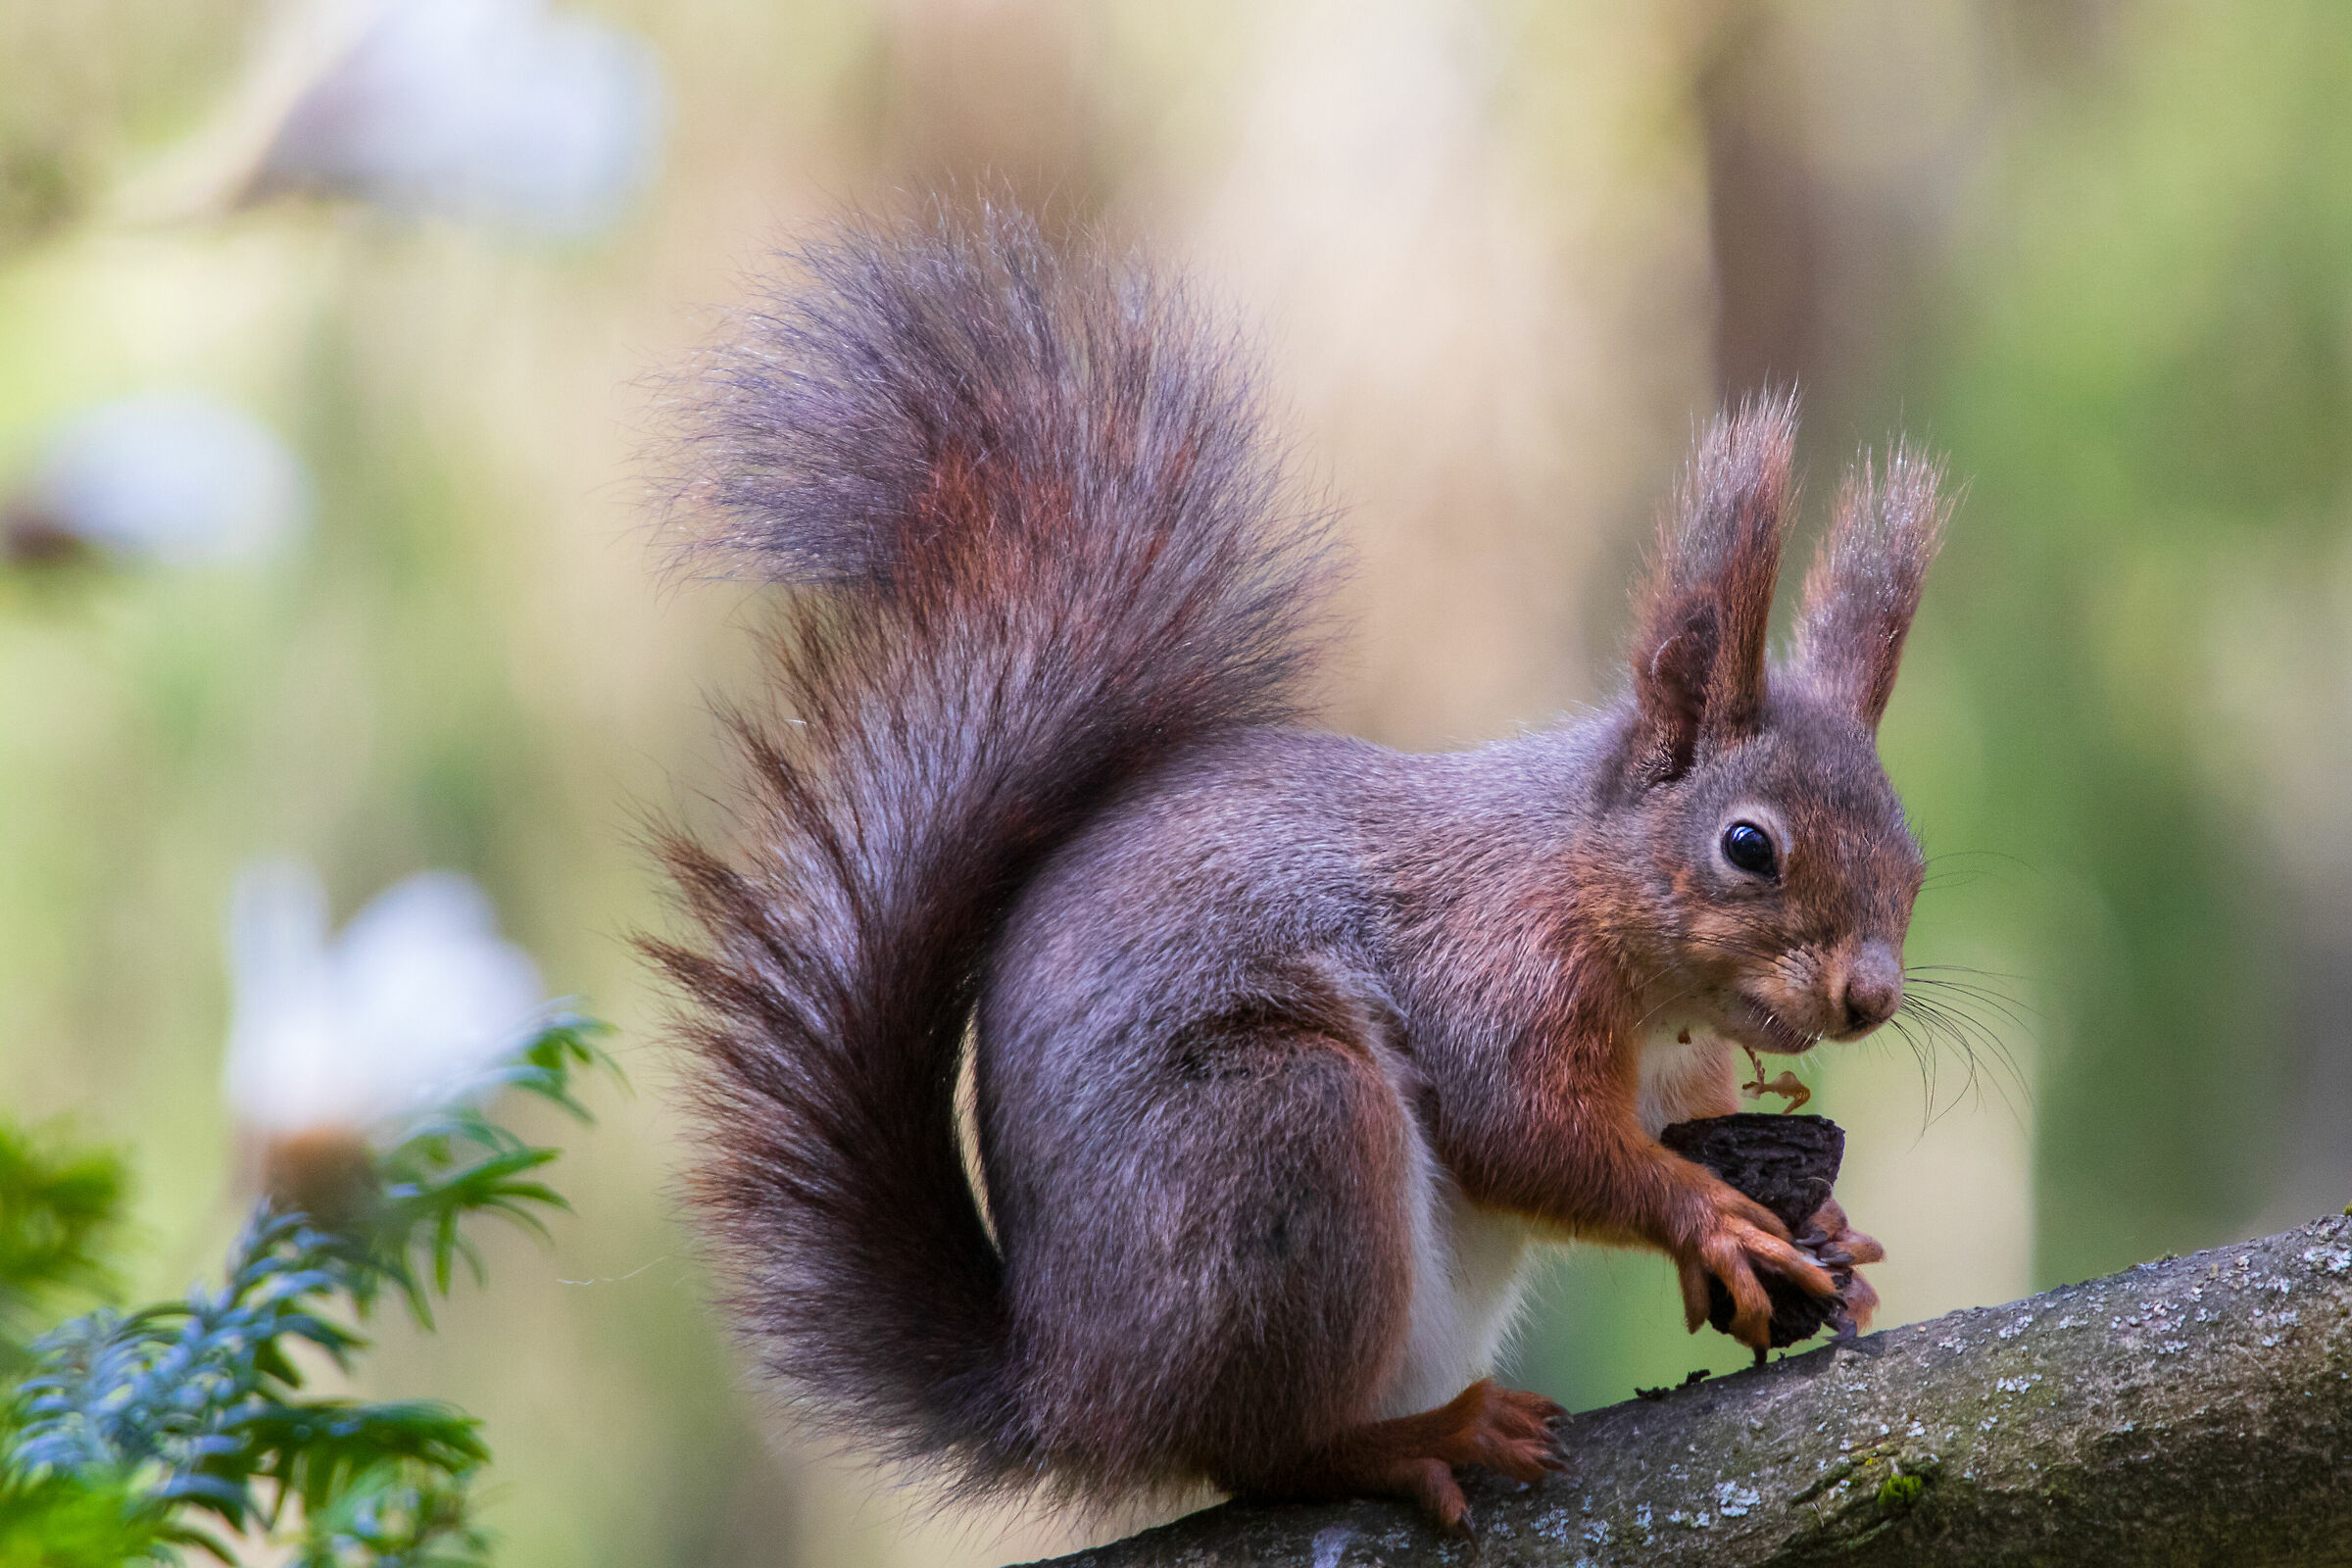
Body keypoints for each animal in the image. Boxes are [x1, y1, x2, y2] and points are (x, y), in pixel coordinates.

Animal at [648, 211, 1948, 1536]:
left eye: (1913, 859)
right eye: (1748, 847)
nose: (1870, 997)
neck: (1597, 897)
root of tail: (1072, 1388)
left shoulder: (1680, 1070)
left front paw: (1830, 1231)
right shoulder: (1496, 962)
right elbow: (1520, 1133)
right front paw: (1710, 1220)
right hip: (1283, 1139)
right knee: (1264, 1450)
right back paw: (1419, 1437)